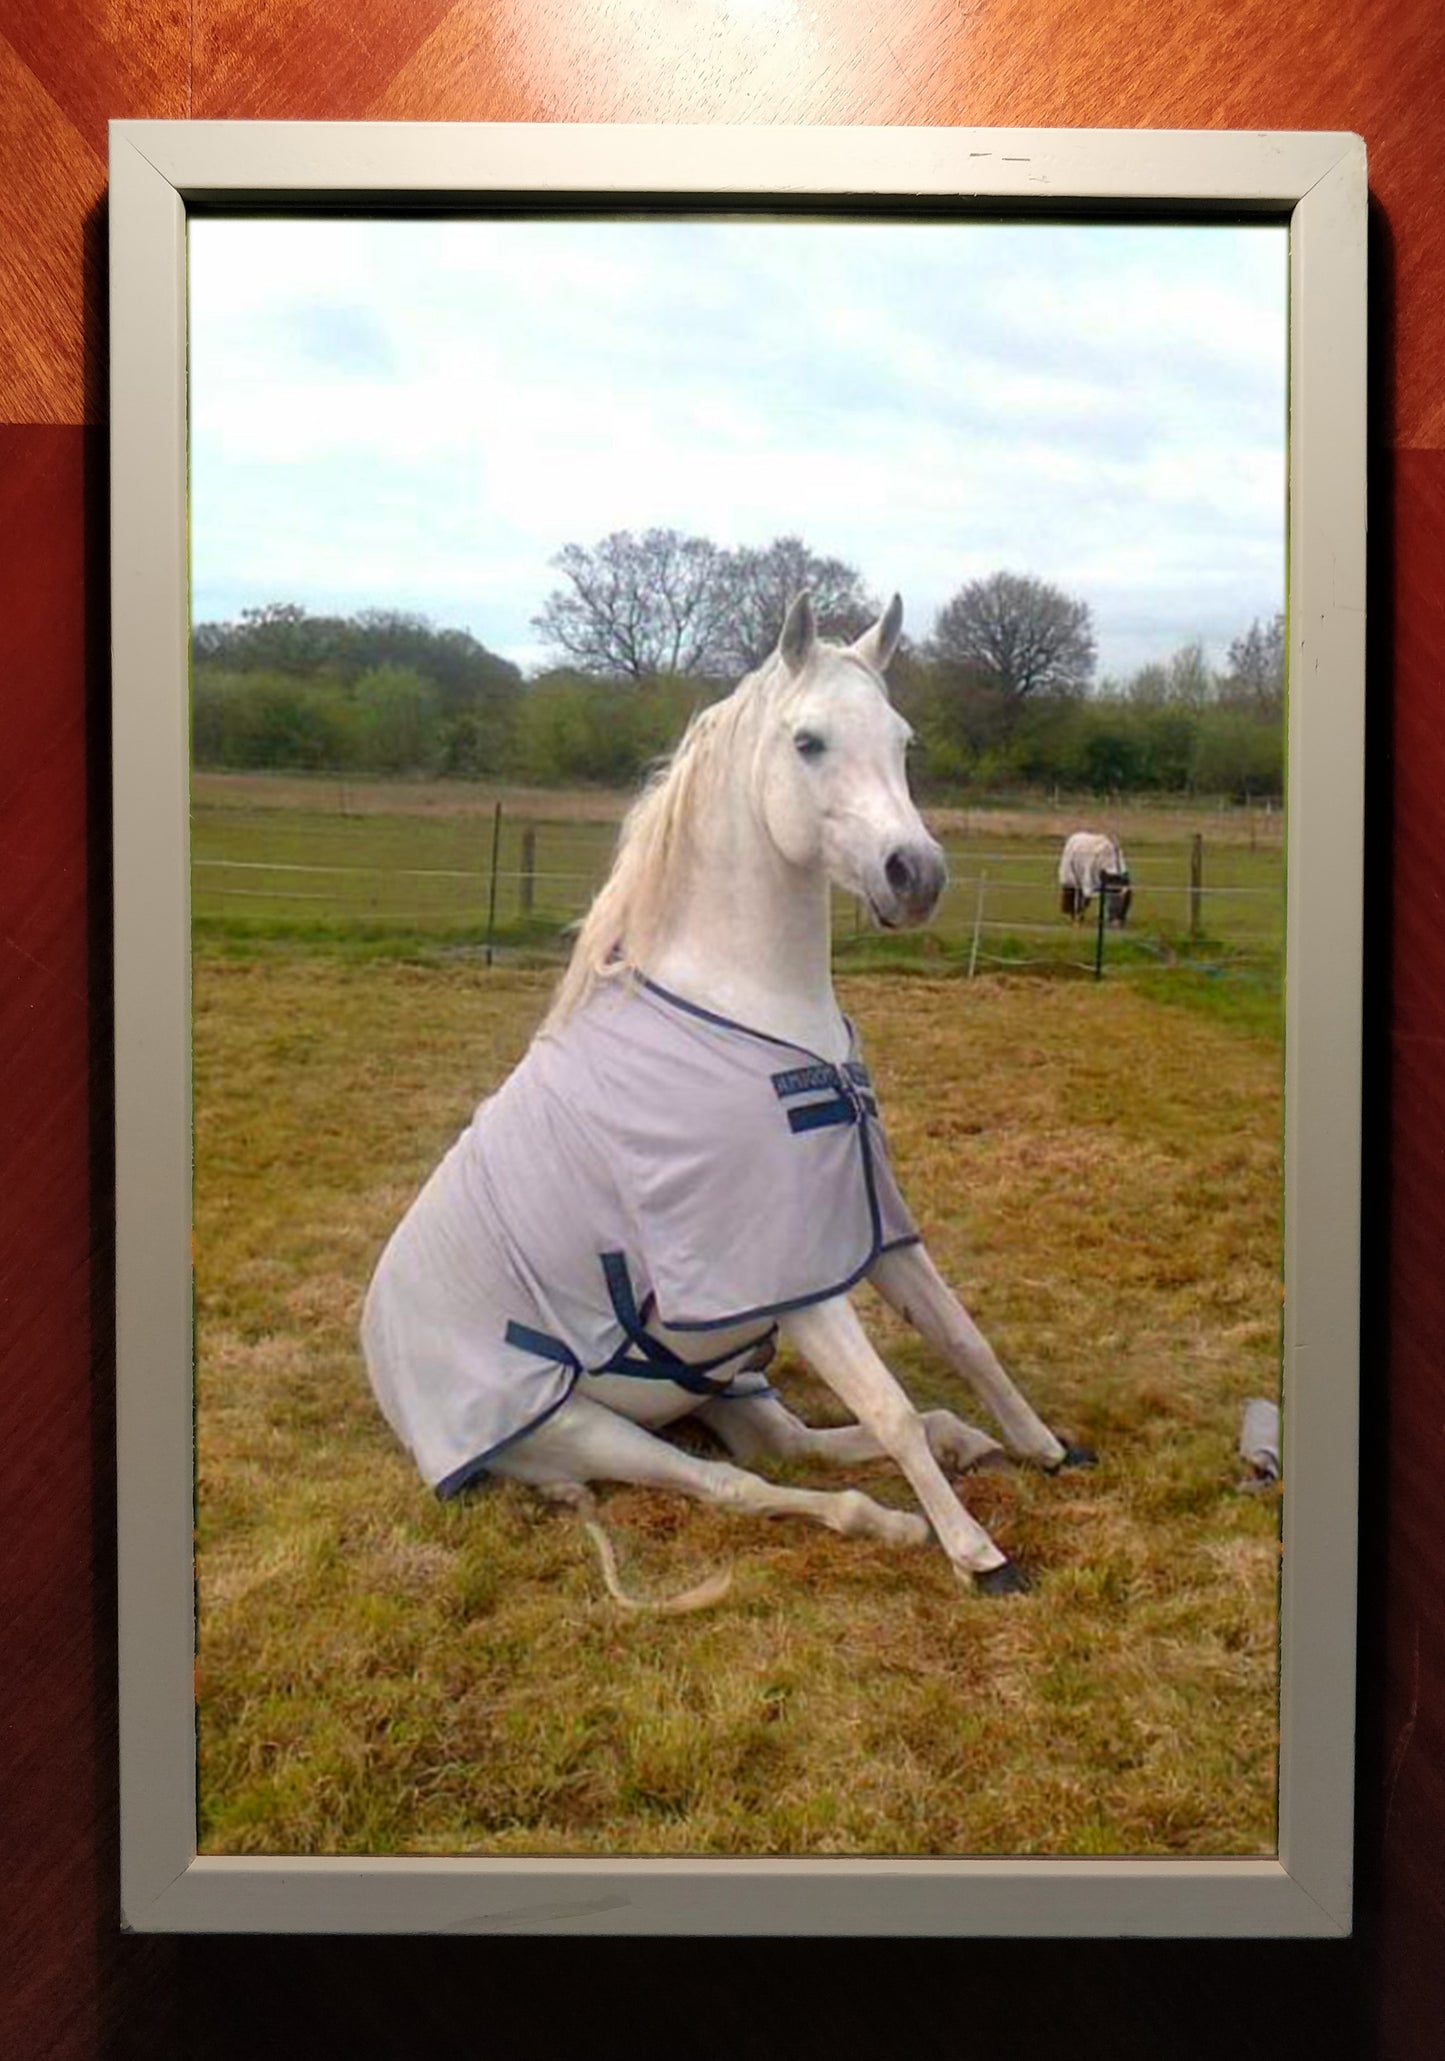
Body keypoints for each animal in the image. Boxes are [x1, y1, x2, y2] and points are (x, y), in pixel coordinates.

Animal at [362, 593, 1093, 1605]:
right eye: (808, 741)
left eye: (903, 741)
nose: (916, 876)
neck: (753, 1013)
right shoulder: (788, 1272)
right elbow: (889, 1404)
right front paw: (978, 1554)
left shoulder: (869, 1226)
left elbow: (962, 1340)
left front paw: (1044, 1448)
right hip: (585, 1430)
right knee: (736, 1484)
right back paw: (891, 1520)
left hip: (725, 1386)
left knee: (789, 1443)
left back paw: (965, 1444)